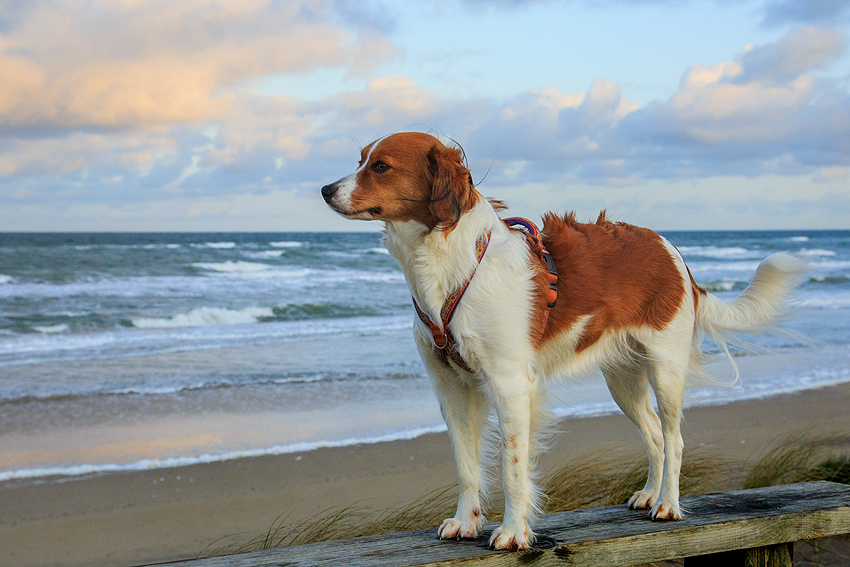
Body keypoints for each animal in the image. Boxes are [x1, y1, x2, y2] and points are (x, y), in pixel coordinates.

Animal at [318, 132, 800, 552]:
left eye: (380, 166)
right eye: (360, 158)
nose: (324, 189)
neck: (449, 263)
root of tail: (671, 249)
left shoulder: (510, 386)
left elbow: (512, 468)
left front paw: (514, 532)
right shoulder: (451, 387)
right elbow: (467, 466)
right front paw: (466, 522)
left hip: (665, 368)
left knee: (674, 437)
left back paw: (667, 504)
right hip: (622, 378)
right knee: (654, 437)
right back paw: (649, 494)